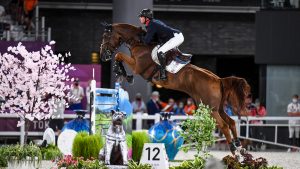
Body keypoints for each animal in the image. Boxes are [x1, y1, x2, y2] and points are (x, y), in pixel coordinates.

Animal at [99, 23, 251, 155]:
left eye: (106, 36)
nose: (103, 55)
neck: (139, 43)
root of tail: (218, 80)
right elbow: (120, 56)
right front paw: (122, 72)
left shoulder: (137, 67)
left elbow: (119, 55)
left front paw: (121, 72)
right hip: (216, 108)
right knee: (231, 122)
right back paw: (240, 147)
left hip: (211, 109)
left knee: (224, 125)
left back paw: (234, 150)